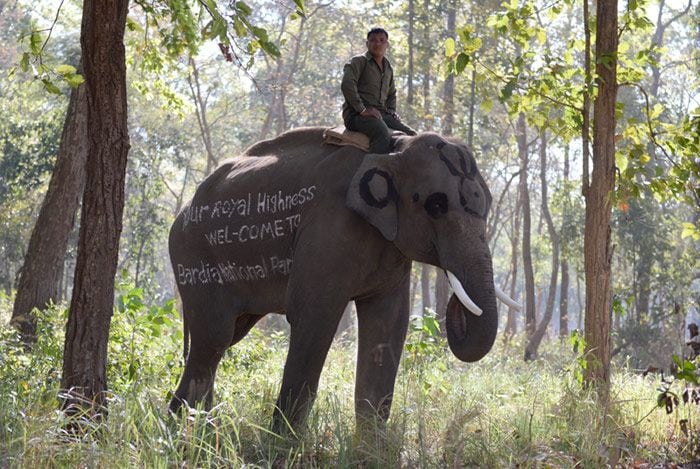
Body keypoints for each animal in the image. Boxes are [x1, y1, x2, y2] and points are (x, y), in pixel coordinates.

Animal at [168, 126, 520, 434]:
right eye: (436, 205)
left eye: (487, 204)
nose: (456, 306)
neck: (394, 149)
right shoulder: (329, 227)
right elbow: (313, 318)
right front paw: (282, 447)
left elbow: (388, 324)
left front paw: (370, 450)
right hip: (194, 256)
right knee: (213, 339)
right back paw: (186, 435)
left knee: (224, 338)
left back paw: (195, 430)